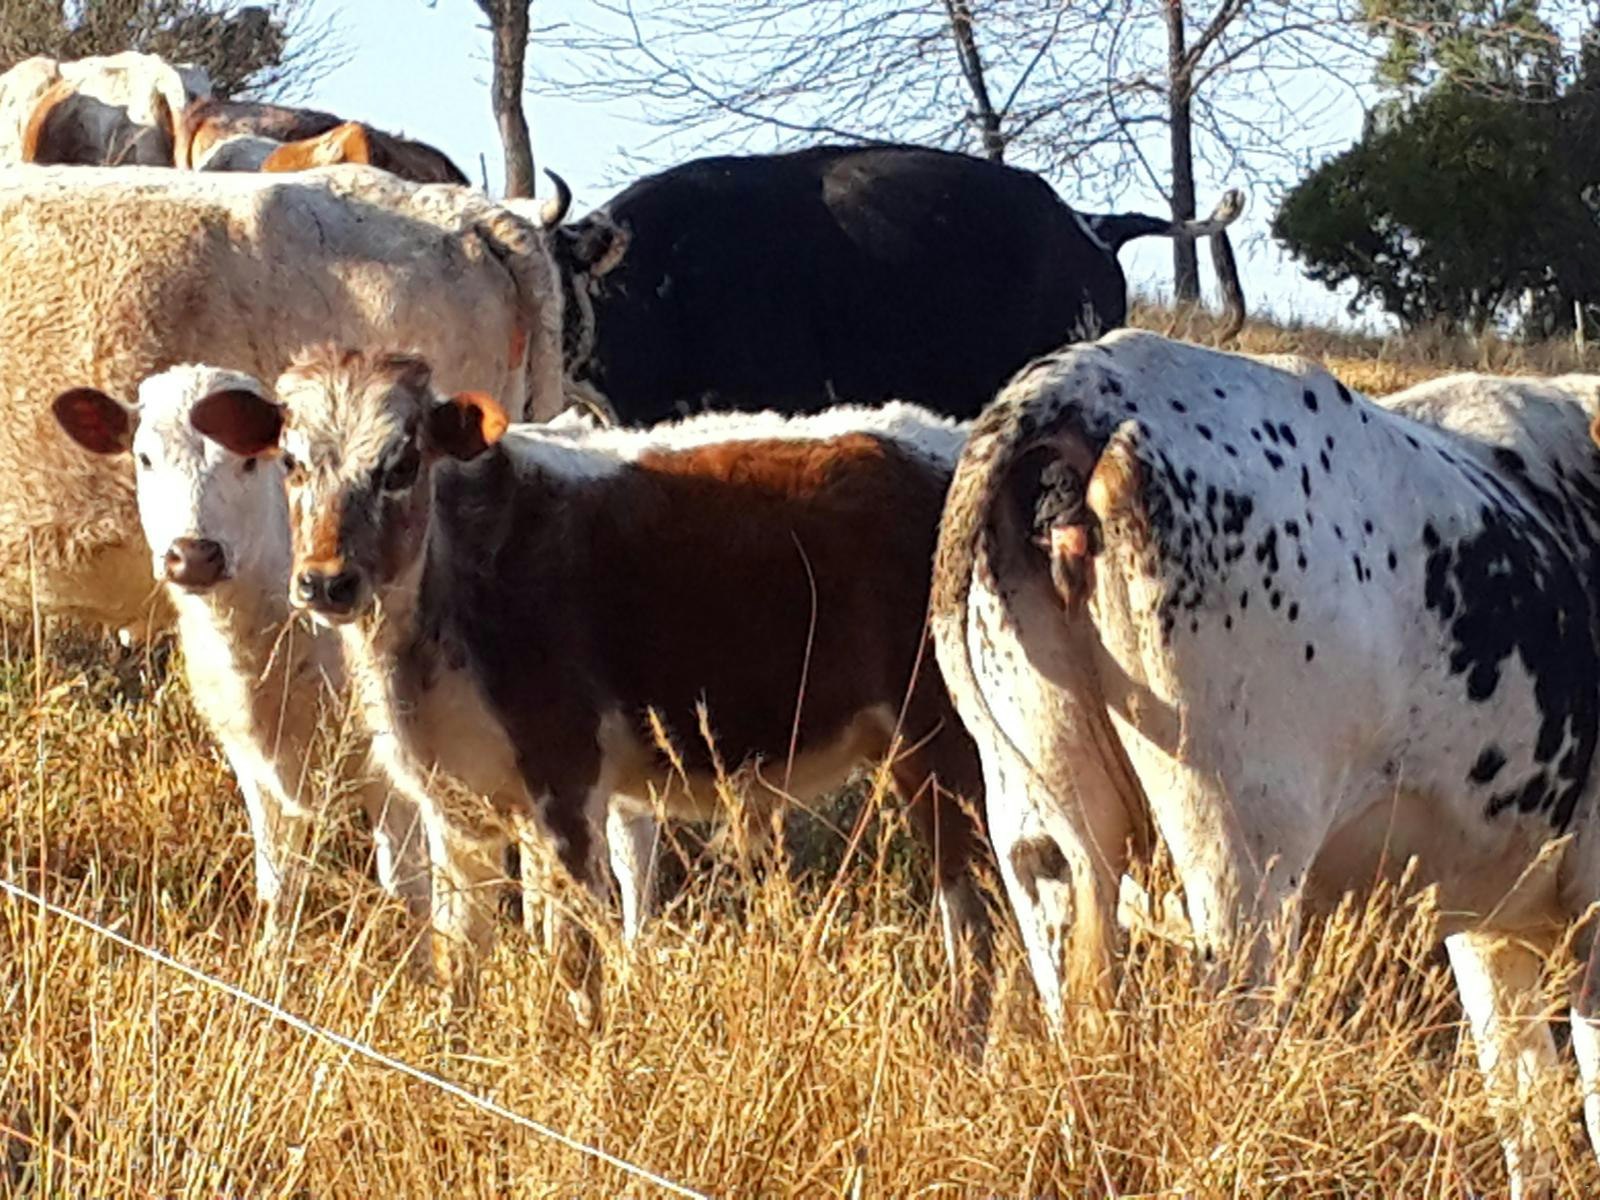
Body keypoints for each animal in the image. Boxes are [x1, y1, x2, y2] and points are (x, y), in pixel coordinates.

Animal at [49, 364, 432, 954]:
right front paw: (273, 959)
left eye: (250, 462)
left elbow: (408, 891)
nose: (194, 555)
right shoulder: (253, 764)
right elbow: (278, 882)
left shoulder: (393, 772)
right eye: (144, 457)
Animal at [189, 346, 994, 1030]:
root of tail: (954, 445)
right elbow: (459, 952)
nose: (325, 582)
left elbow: (576, 956)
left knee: (980, 929)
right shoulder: (455, 801)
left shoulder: (566, 779)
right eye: (292, 463)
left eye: (402, 464)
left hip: (944, 749)